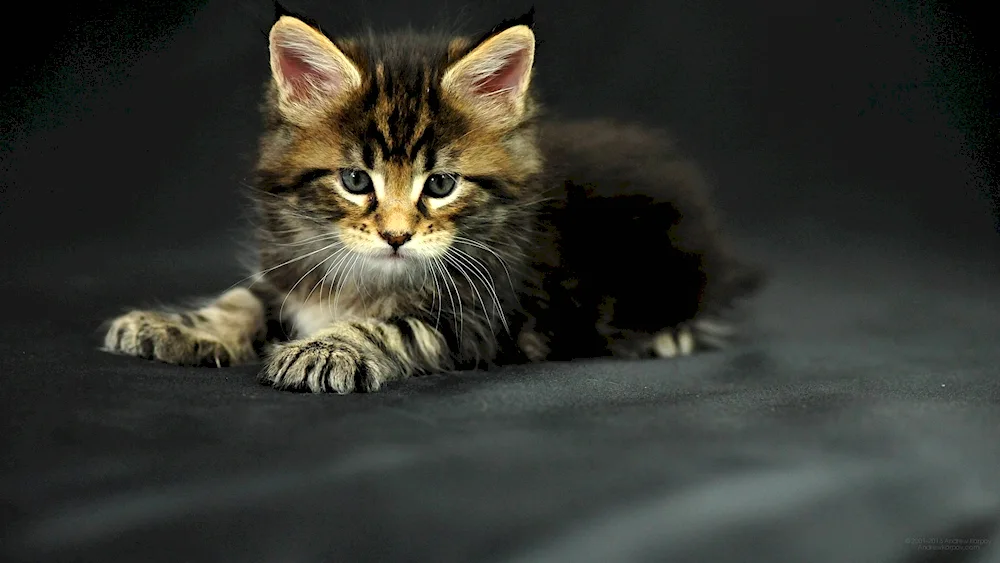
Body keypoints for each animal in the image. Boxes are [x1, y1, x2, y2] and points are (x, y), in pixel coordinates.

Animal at [101, 6, 760, 394]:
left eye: (440, 185)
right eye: (356, 180)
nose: (396, 235)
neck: (367, 277)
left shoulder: (479, 316)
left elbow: (389, 328)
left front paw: (327, 348)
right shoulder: (294, 267)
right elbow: (240, 301)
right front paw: (172, 325)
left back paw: (667, 337)